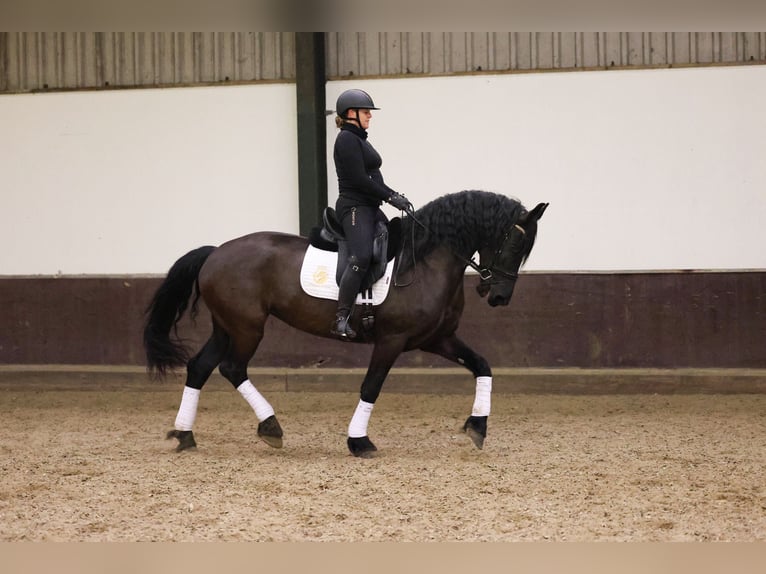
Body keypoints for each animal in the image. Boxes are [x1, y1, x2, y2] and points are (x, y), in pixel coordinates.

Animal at [143, 190, 548, 457]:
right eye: (515, 244)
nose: (499, 296)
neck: (424, 263)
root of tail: (215, 252)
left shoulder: (437, 339)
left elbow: (482, 366)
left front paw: (478, 427)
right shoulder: (392, 341)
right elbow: (371, 386)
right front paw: (359, 441)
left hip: (225, 326)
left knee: (199, 367)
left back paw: (185, 435)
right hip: (247, 327)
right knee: (231, 368)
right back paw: (270, 426)